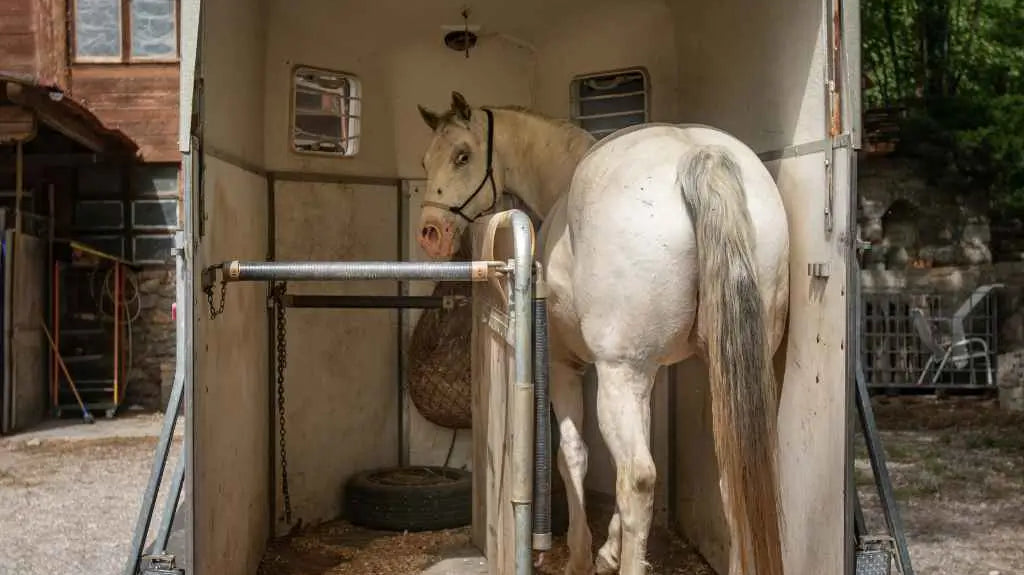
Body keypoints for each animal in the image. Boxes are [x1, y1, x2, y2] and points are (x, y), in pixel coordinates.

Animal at [415, 92, 790, 575]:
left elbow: (573, 455)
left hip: (618, 374)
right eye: (426, 159)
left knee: (637, 478)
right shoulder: (645, 375)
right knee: (734, 476)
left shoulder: (568, 367)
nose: (431, 235)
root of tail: (697, 155)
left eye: (462, 155)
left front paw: (582, 554)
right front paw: (609, 549)